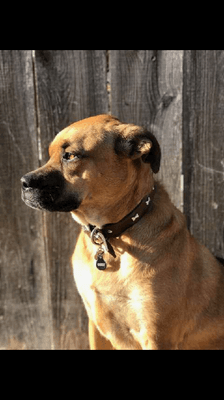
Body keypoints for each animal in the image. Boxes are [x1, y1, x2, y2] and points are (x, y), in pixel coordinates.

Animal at [21, 114, 224, 348]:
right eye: (49, 155)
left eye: (70, 156)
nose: (23, 182)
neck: (110, 233)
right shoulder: (95, 324)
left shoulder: (156, 336)